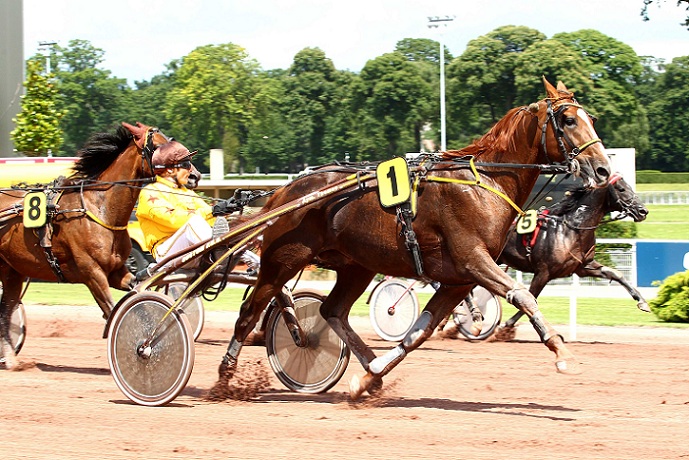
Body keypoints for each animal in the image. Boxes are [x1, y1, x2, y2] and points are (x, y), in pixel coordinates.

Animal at [0, 121, 171, 366]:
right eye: (157, 146)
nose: (193, 173)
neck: (99, 209)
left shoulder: (116, 271)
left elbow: (136, 300)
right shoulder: (91, 273)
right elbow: (112, 311)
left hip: (12, 271)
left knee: (6, 310)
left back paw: (11, 360)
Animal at [211, 78, 612, 398]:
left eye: (591, 119)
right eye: (569, 120)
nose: (603, 169)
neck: (485, 181)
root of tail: (284, 191)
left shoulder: (458, 280)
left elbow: (420, 332)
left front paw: (367, 378)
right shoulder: (474, 260)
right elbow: (524, 295)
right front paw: (561, 352)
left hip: (356, 266)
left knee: (331, 311)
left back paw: (366, 366)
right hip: (283, 259)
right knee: (249, 313)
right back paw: (224, 381)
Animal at [492, 172, 648, 338]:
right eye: (621, 189)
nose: (643, 211)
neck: (571, 229)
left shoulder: (582, 266)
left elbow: (616, 274)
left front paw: (642, 302)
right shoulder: (543, 272)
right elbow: (531, 296)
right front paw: (506, 326)